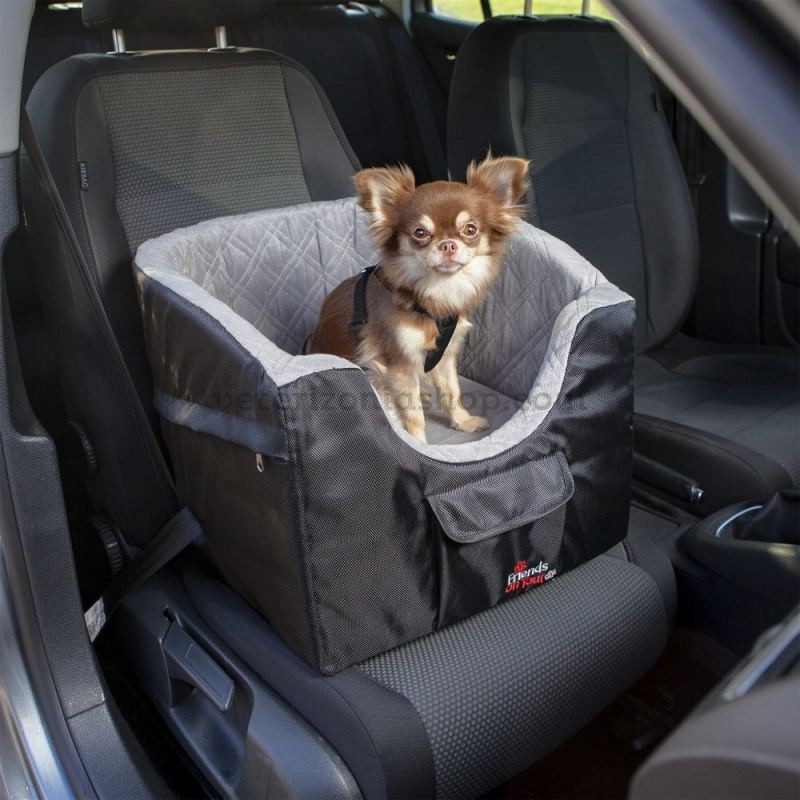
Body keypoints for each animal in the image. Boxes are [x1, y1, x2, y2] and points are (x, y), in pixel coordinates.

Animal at [306, 155, 532, 444]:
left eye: (470, 229)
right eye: (420, 233)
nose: (448, 244)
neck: (434, 295)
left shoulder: (444, 356)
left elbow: (452, 391)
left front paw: (463, 421)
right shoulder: (398, 364)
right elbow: (412, 414)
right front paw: (419, 444)